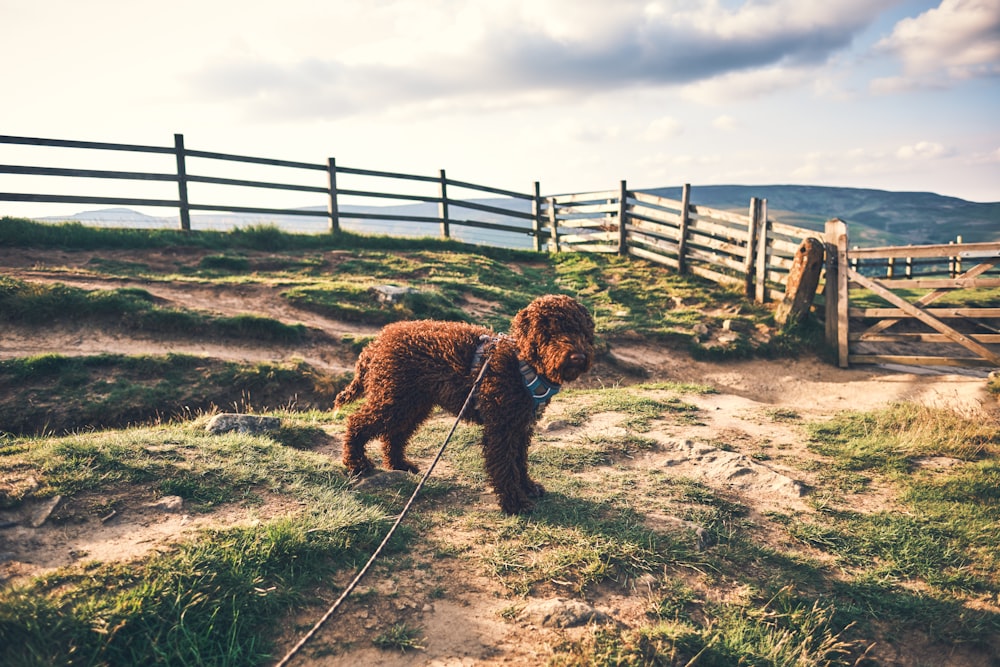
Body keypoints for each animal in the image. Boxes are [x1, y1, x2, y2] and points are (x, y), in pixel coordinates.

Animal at [340, 294, 592, 516]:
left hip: (412, 403)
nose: (579, 357)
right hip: (393, 399)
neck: (522, 363)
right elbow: (505, 466)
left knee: (395, 434)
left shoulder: (521, 426)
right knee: (357, 422)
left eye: (581, 330)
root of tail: (376, 343)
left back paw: (399, 464)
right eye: (551, 332)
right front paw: (514, 503)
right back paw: (356, 462)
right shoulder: (501, 428)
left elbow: (519, 461)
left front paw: (528, 487)